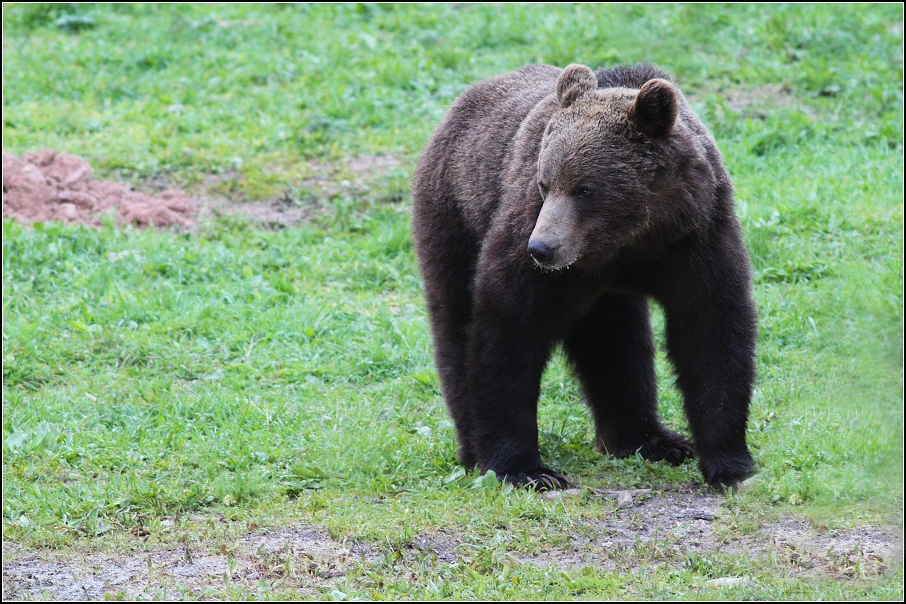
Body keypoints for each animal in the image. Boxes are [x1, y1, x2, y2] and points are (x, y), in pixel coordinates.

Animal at [410, 63, 756, 490]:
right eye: (545, 183)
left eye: (585, 188)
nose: (541, 248)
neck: (628, 240)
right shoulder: (531, 244)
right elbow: (507, 332)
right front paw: (525, 468)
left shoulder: (696, 237)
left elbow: (711, 330)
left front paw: (730, 464)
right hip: (455, 213)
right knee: (456, 321)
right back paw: (472, 449)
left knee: (616, 342)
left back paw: (650, 439)